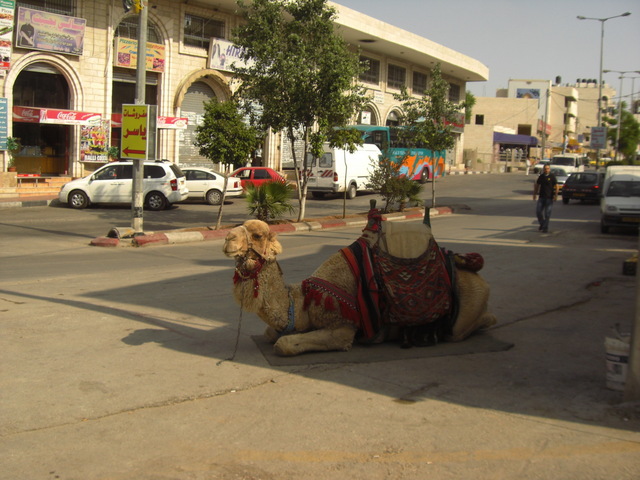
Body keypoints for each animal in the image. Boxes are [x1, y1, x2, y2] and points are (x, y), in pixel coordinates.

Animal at [222, 214, 498, 356]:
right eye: (239, 228)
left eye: (257, 235)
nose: (228, 239)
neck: (303, 303)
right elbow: (271, 334)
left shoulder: (343, 326)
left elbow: (284, 344)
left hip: (463, 315)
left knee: (477, 323)